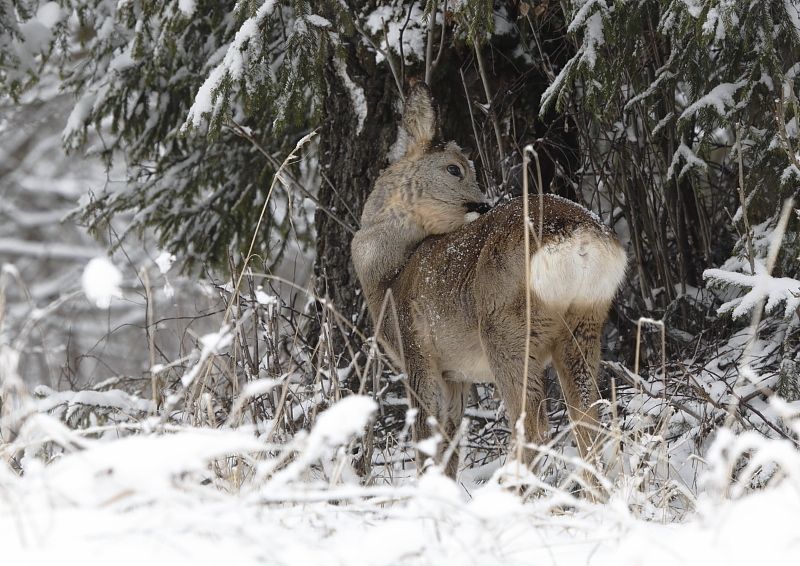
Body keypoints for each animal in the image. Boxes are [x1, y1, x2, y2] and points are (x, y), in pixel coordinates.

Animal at [354, 83, 628, 484]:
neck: (389, 277)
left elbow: (425, 444)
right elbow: (450, 446)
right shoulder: (455, 373)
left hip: (506, 327)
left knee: (534, 428)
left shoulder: (415, 352)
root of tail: (581, 236)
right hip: (583, 325)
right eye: (454, 168)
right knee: (588, 426)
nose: (483, 204)